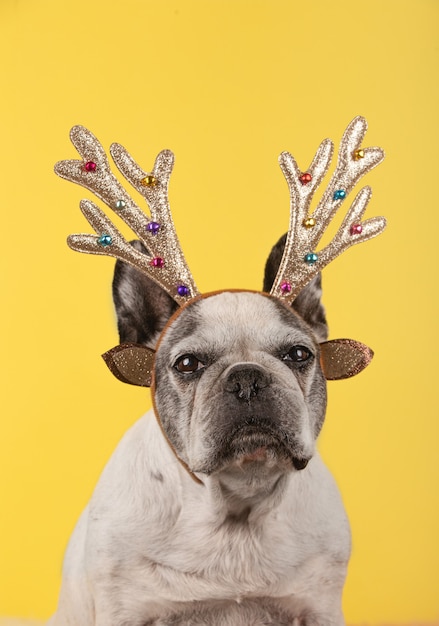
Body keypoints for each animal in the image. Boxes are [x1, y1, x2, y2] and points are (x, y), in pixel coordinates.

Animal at [49, 234, 350, 624]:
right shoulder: (123, 609)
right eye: (187, 363)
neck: (237, 505)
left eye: (299, 354)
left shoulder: (319, 607)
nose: (247, 378)